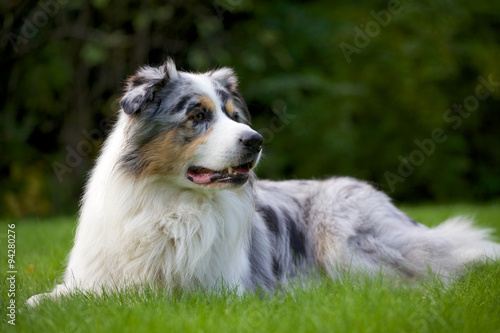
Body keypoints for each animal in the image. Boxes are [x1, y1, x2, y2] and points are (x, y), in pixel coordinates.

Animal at [27, 58, 500, 304]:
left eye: (233, 115)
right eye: (197, 115)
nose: (255, 140)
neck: (174, 204)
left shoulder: (215, 291)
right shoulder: (95, 278)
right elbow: (50, 299)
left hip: (345, 240)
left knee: (426, 277)